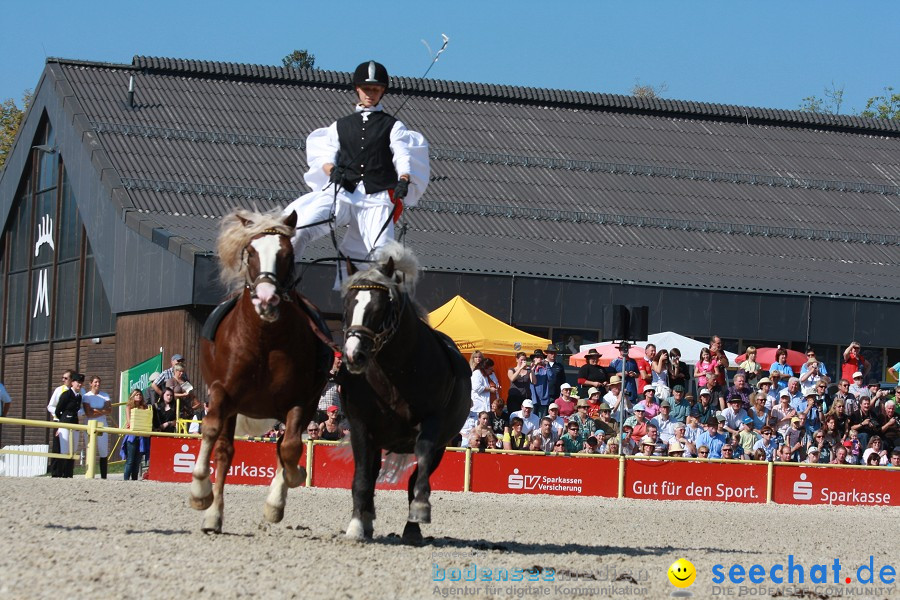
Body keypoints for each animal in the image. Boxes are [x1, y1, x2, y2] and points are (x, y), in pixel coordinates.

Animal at [192, 209, 332, 532]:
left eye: (287, 253)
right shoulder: (222, 394)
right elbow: (210, 430)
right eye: (251, 251)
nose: (267, 298)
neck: (264, 338)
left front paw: (281, 493)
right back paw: (213, 514)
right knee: (224, 451)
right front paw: (199, 492)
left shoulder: (301, 401)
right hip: (233, 408)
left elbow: (290, 447)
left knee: (283, 444)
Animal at [338, 240, 472, 544]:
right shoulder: (361, 427)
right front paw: (356, 525)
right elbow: (362, 477)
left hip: (442, 443)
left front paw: (418, 512)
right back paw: (366, 519)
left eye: (379, 307)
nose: (353, 355)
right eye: (347, 304)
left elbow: (419, 469)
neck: (394, 377)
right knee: (371, 474)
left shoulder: (432, 427)